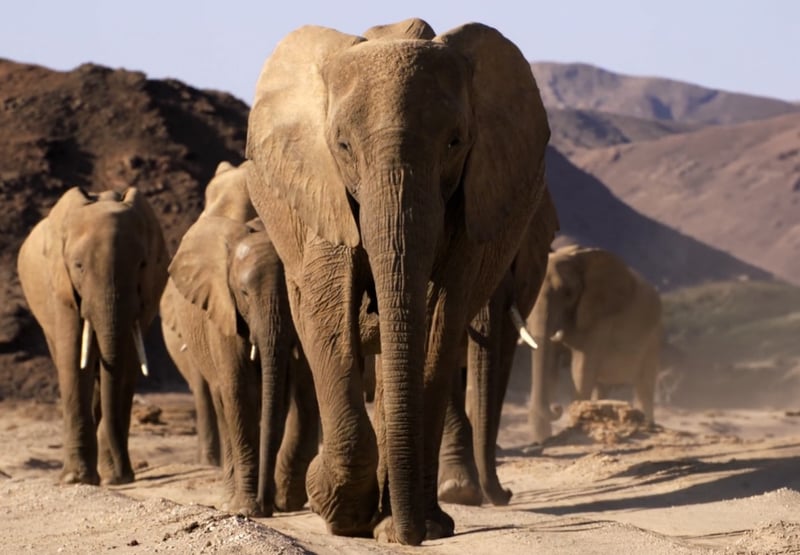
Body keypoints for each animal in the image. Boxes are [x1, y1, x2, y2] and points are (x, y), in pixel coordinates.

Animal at [17, 187, 168, 485]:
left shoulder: (147, 294)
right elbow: (73, 359)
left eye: (142, 264)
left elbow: (127, 364)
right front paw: (76, 480)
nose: (125, 475)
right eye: (78, 266)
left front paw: (113, 479)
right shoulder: (62, 289)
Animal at [161, 161, 318, 517]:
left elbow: (286, 392)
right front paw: (247, 509)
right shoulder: (222, 309)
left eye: (293, 293)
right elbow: (240, 390)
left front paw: (268, 504)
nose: (266, 504)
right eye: (244, 294)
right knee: (223, 398)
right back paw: (229, 497)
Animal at [245, 18, 552, 544]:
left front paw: (406, 525)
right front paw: (338, 509)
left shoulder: (468, 205)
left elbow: (438, 323)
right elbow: (329, 319)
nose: (408, 537)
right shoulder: (323, 192)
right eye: (343, 145)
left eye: (455, 142)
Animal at [526, 245, 663, 443]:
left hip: (653, 337)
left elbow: (580, 368)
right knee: (603, 386)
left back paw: (648, 425)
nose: (557, 407)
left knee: (644, 386)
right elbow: (551, 367)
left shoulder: (600, 318)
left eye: (568, 293)